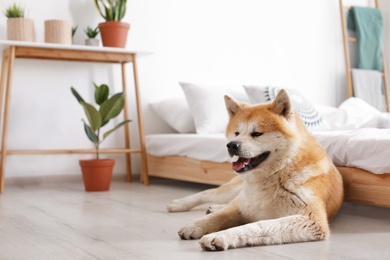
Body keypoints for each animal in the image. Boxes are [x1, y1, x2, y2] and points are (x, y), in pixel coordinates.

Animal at [166, 89, 342, 250]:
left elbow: (256, 226)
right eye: (236, 133)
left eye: (256, 133)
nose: (231, 145)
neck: (277, 174)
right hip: (233, 190)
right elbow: (219, 216)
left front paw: (220, 236)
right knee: (208, 194)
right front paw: (195, 225)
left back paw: (212, 207)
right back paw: (180, 204)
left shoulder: (311, 220)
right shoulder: (243, 206)